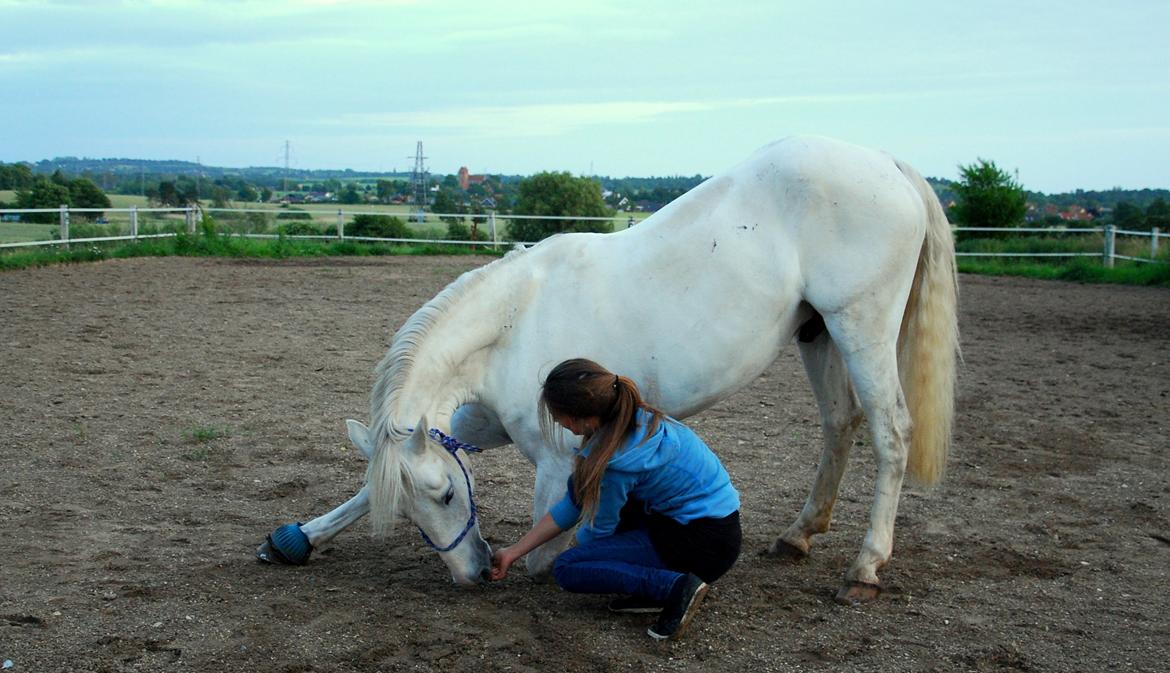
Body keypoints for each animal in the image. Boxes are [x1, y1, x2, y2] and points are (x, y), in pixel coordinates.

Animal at [256, 135, 959, 604]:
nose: (472, 573)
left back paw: (864, 568)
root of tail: (887, 163)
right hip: (819, 335)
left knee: (890, 434)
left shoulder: (555, 459)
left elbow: (545, 553)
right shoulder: (480, 425)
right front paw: (297, 540)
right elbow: (362, 491)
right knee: (840, 426)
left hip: (860, 327)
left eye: (448, 495)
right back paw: (798, 536)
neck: (512, 324)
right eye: (409, 508)